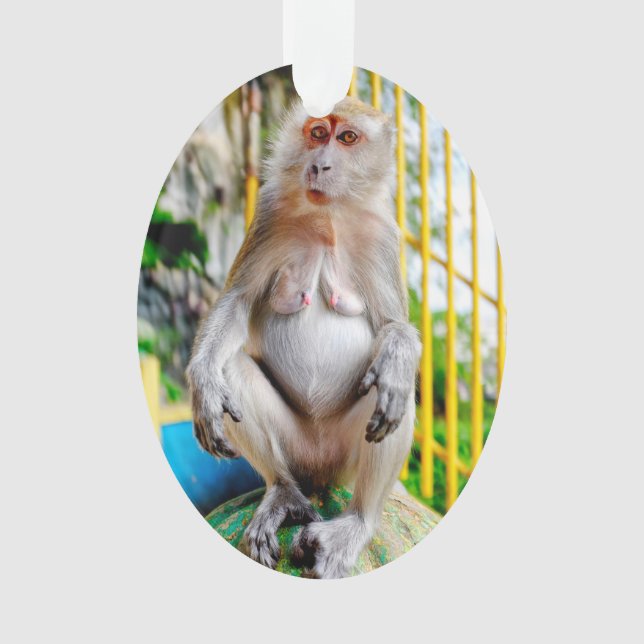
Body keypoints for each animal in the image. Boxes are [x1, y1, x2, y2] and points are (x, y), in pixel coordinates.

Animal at [186, 96, 421, 579]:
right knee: (233, 369)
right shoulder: (269, 212)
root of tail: (319, 476)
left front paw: (396, 352)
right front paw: (203, 383)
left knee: (394, 390)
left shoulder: (384, 236)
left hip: (344, 457)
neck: (328, 217)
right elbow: (238, 301)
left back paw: (355, 524)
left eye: (346, 137)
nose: (319, 165)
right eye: (317, 132)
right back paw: (283, 493)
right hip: (296, 449)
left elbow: (393, 328)